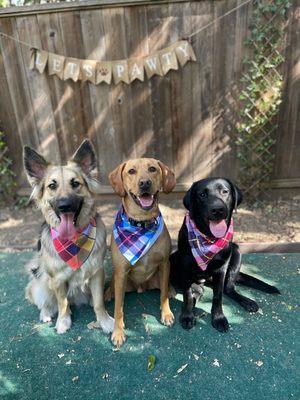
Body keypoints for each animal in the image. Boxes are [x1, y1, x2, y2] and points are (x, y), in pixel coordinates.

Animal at [23, 141, 113, 334]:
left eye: (75, 183)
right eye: (52, 186)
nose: (64, 206)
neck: (74, 243)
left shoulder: (97, 273)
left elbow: (99, 302)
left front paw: (104, 320)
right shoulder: (57, 280)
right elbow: (62, 303)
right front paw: (63, 322)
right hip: (41, 280)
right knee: (46, 301)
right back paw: (46, 313)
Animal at [106, 158, 176, 346]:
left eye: (152, 169)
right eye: (131, 171)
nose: (145, 183)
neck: (141, 224)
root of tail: (140, 288)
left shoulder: (165, 264)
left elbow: (163, 295)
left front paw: (166, 313)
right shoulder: (121, 272)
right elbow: (118, 308)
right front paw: (118, 331)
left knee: (165, 288)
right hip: (119, 280)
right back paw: (107, 293)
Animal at [170, 180, 280, 332]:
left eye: (225, 191)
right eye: (202, 194)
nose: (218, 209)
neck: (209, 238)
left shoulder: (221, 270)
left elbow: (218, 296)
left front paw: (218, 318)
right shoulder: (185, 266)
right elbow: (187, 295)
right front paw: (187, 315)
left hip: (236, 253)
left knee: (228, 289)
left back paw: (247, 301)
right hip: (176, 261)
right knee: (196, 292)